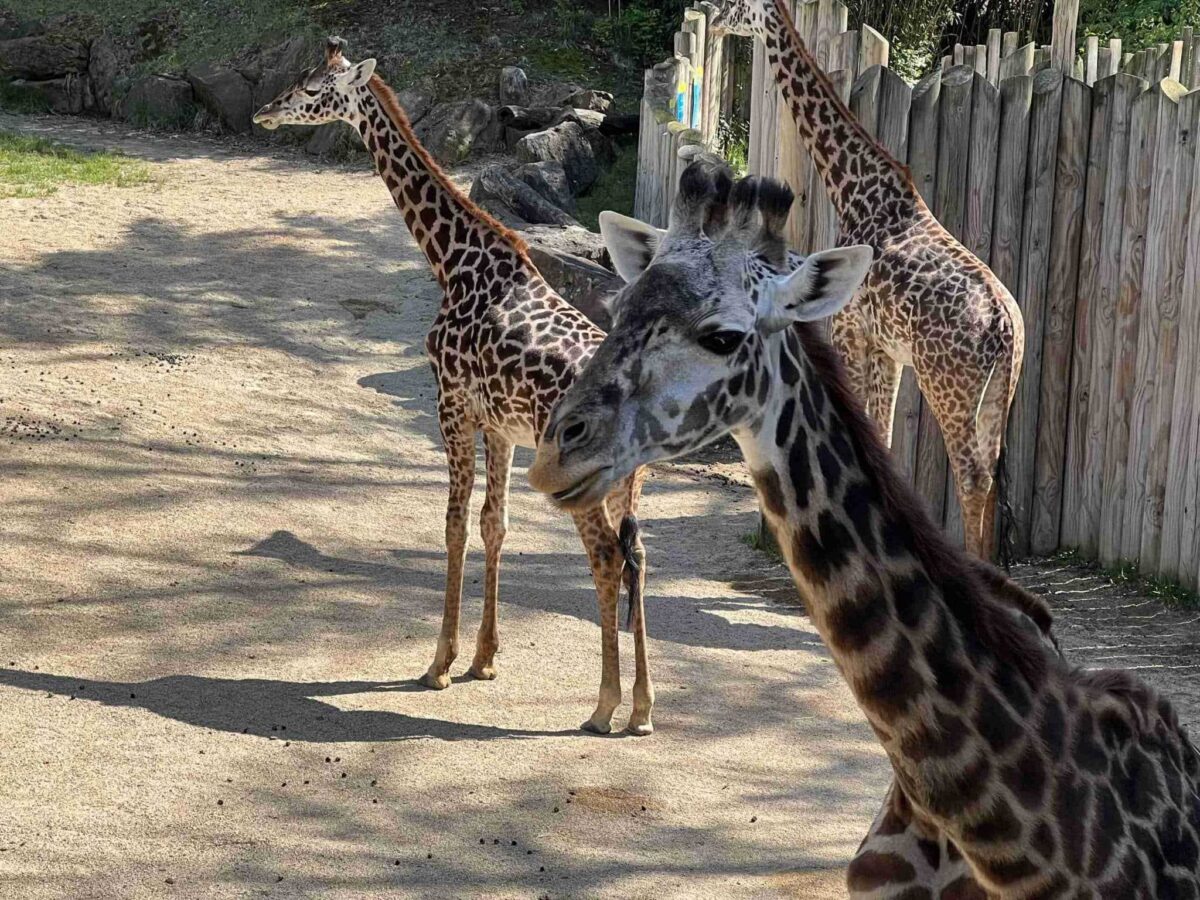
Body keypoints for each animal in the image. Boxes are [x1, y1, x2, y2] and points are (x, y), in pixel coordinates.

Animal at [251, 38, 655, 735]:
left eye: (310, 89)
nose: (264, 112)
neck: (451, 259)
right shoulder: (500, 423)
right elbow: (495, 525)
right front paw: (485, 658)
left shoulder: (451, 404)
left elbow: (454, 526)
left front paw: (438, 663)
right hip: (629, 482)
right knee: (640, 559)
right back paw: (643, 709)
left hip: (583, 478)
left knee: (606, 558)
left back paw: (603, 706)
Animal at [706, 0, 1024, 560]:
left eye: (735, 3)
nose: (707, 12)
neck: (852, 189)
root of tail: (1006, 328)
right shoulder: (887, 348)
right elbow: (886, 441)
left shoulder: (852, 332)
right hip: (997, 394)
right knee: (991, 476)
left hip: (949, 388)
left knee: (972, 478)